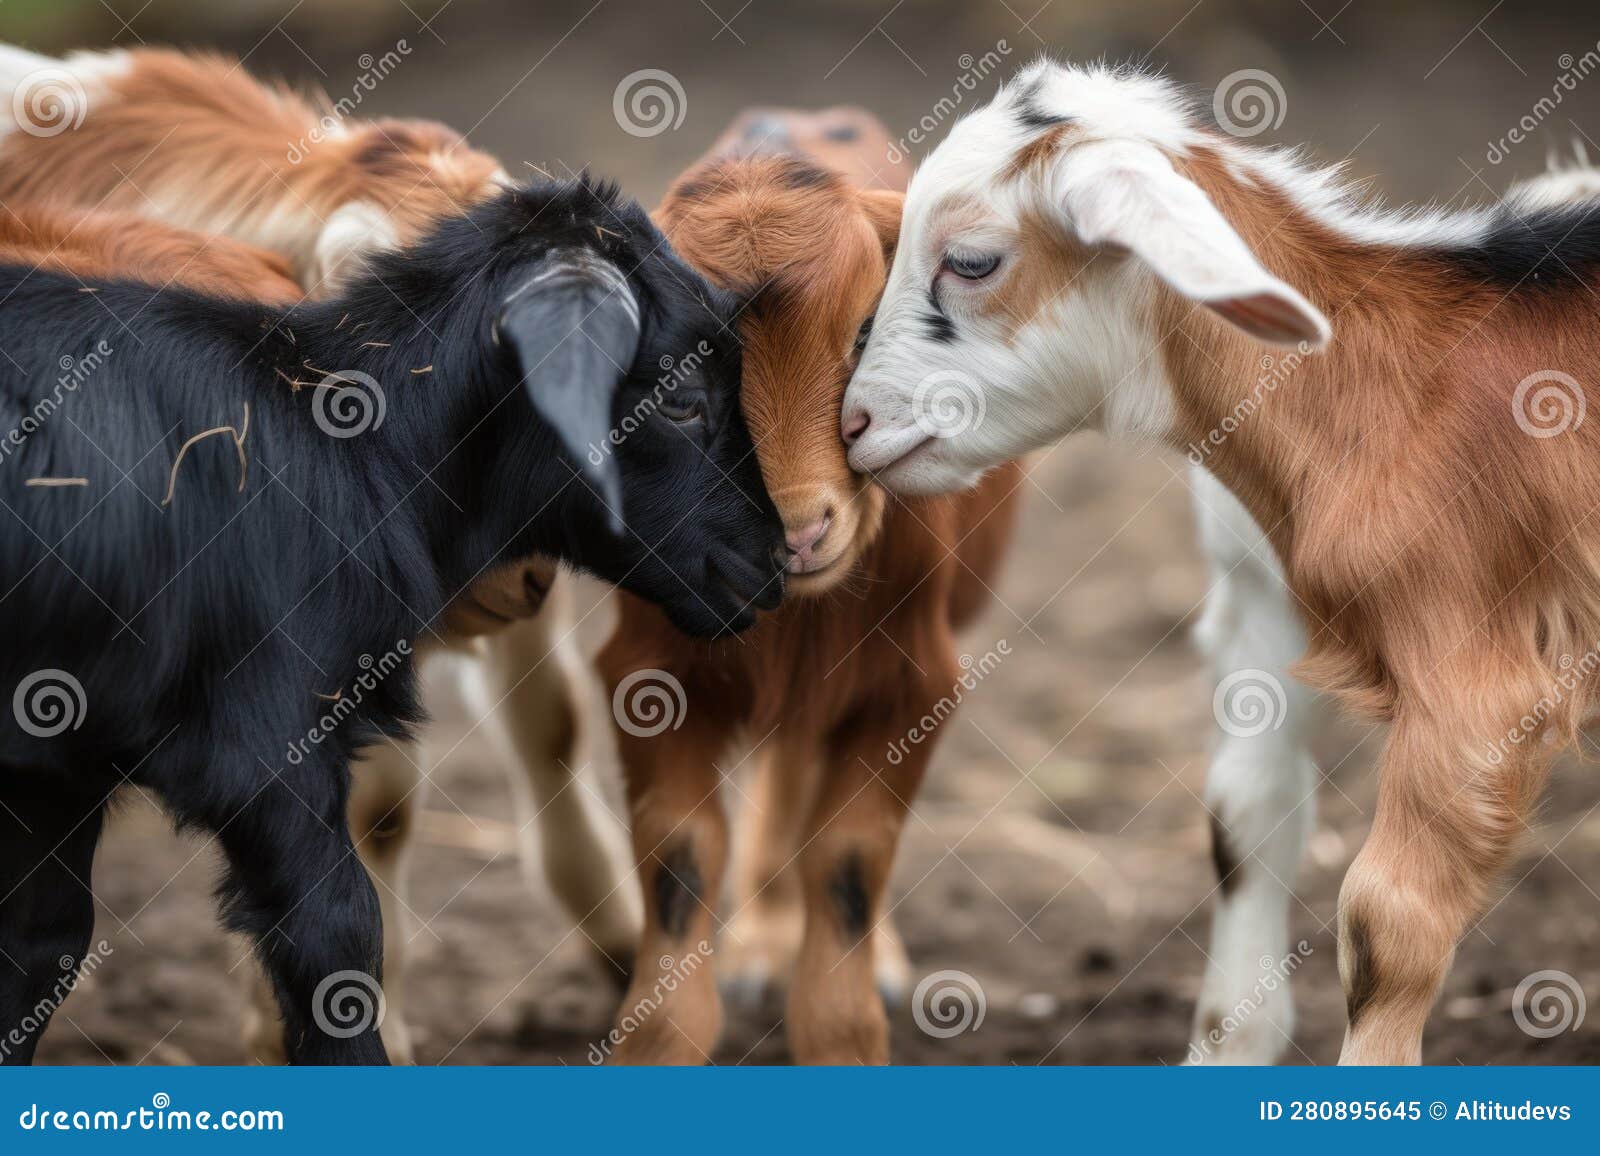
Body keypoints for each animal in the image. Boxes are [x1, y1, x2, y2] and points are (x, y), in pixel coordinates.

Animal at [0, 178, 785, 1063]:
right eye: (681, 400)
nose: (776, 557)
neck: (357, 452)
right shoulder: (265, 750)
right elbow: (337, 945)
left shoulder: (53, 764)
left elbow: (39, 947)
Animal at [594, 111, 1020, 1064]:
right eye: (674, 381)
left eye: (868, 333)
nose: (797, 531)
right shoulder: (648, 673)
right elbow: (680, 858)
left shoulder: (913, 683)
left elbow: (850, 860)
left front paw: (843, 1034)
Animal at [844, 57, 1600, 1064]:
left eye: (971, 261)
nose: (853, 423)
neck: (1381, 383)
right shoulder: (1267, 615)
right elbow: (1245, 825)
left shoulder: (1478, 674)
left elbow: (1385, 923)